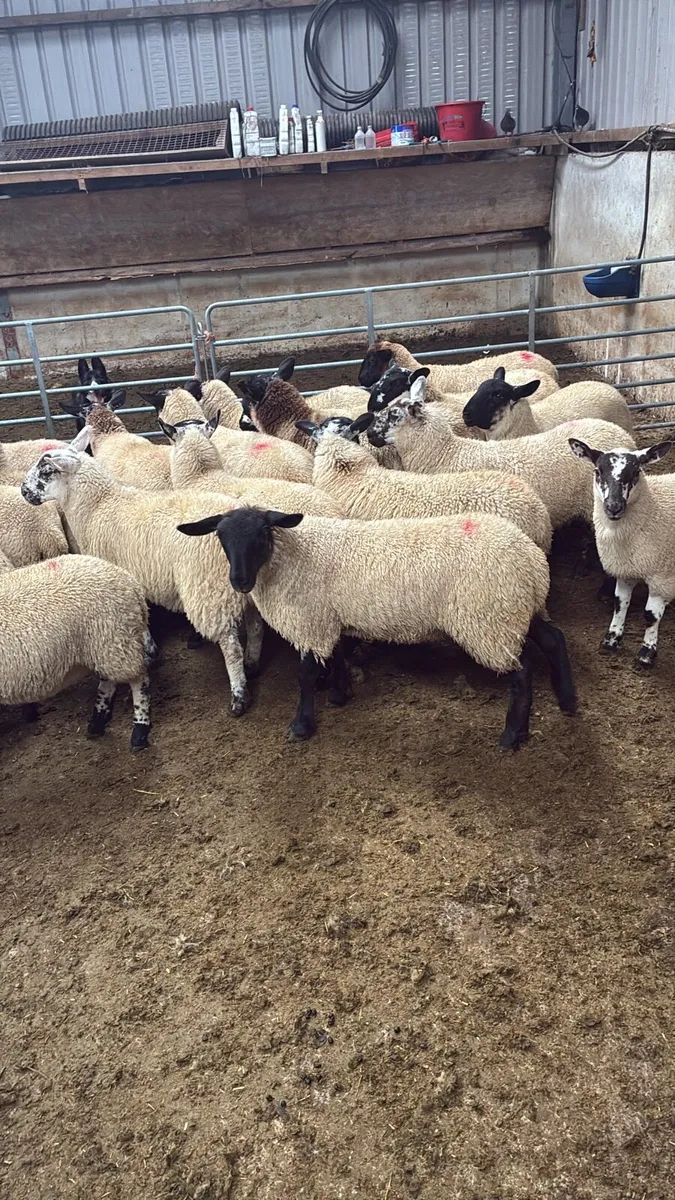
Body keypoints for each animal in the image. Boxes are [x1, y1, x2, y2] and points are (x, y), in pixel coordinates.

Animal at [0, 552, 154, 750]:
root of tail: (129, 582)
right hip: (106, 644)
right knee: (109, 682)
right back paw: (98, 722)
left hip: (115, 639)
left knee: (139, 681)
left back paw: (139, 733)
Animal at [21, 430, 263, 717]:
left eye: (47, 471)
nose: (23, 491)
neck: (99, 506)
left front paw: (149, 650)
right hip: (246, 589)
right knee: (256, 626)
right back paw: (252, 663)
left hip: (208, 588)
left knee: (230, 646)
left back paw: (239, 695)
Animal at [178, 506, 577, 751]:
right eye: (221, 538)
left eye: (262, 533)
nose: (239, 582)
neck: (290, 559)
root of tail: (531, 559)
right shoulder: (331, 617)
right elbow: (336, 657)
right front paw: (340, 695)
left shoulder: (311, 621)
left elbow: (307, 675)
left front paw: (301, 726)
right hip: (514, 610)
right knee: (554, 640)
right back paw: (568, 701)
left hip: (489, 619)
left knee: (521, 672)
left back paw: (512, 735)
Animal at [569, 437, 675, 667]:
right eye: (597, 471)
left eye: (636, 473)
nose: (613, 507)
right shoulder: (625, 569)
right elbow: (620, 604)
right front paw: (612, 639)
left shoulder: (661, 576)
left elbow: (650, 616)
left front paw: (646, 653)